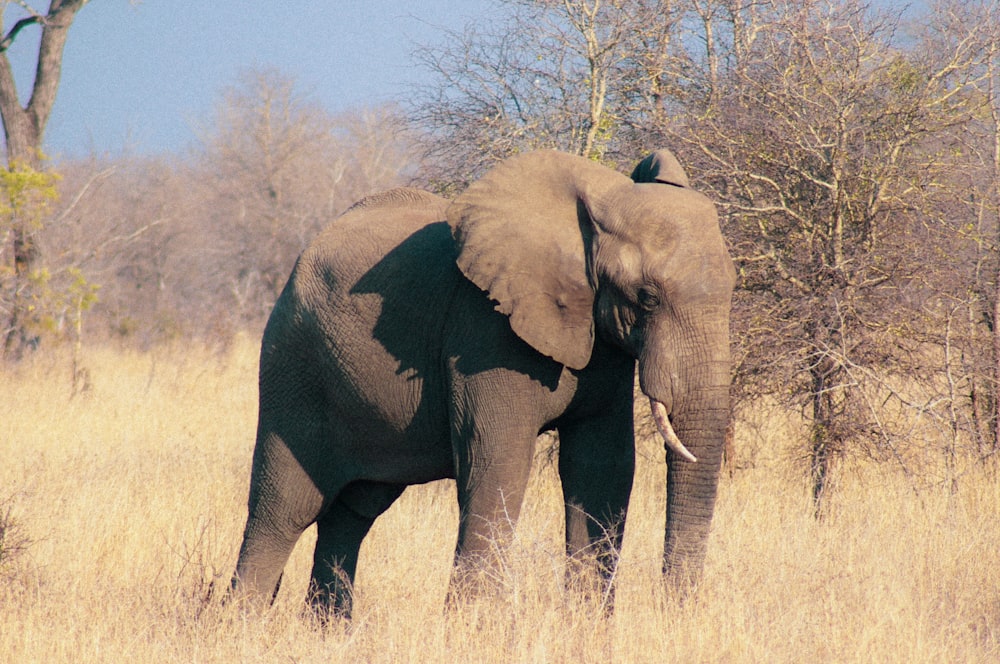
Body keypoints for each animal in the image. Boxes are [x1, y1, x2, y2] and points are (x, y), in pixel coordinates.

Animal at [232, 148, 736, 616]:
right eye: (648, 298)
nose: (672, 608)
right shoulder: (483, 330)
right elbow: (498, 461)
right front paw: (473, 626)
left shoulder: (603, 346)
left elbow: (602, 468)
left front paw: (587, 628)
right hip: (293, 368)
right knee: (284, 510)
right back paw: (244, 625)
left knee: (352, 514)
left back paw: (329, 633)